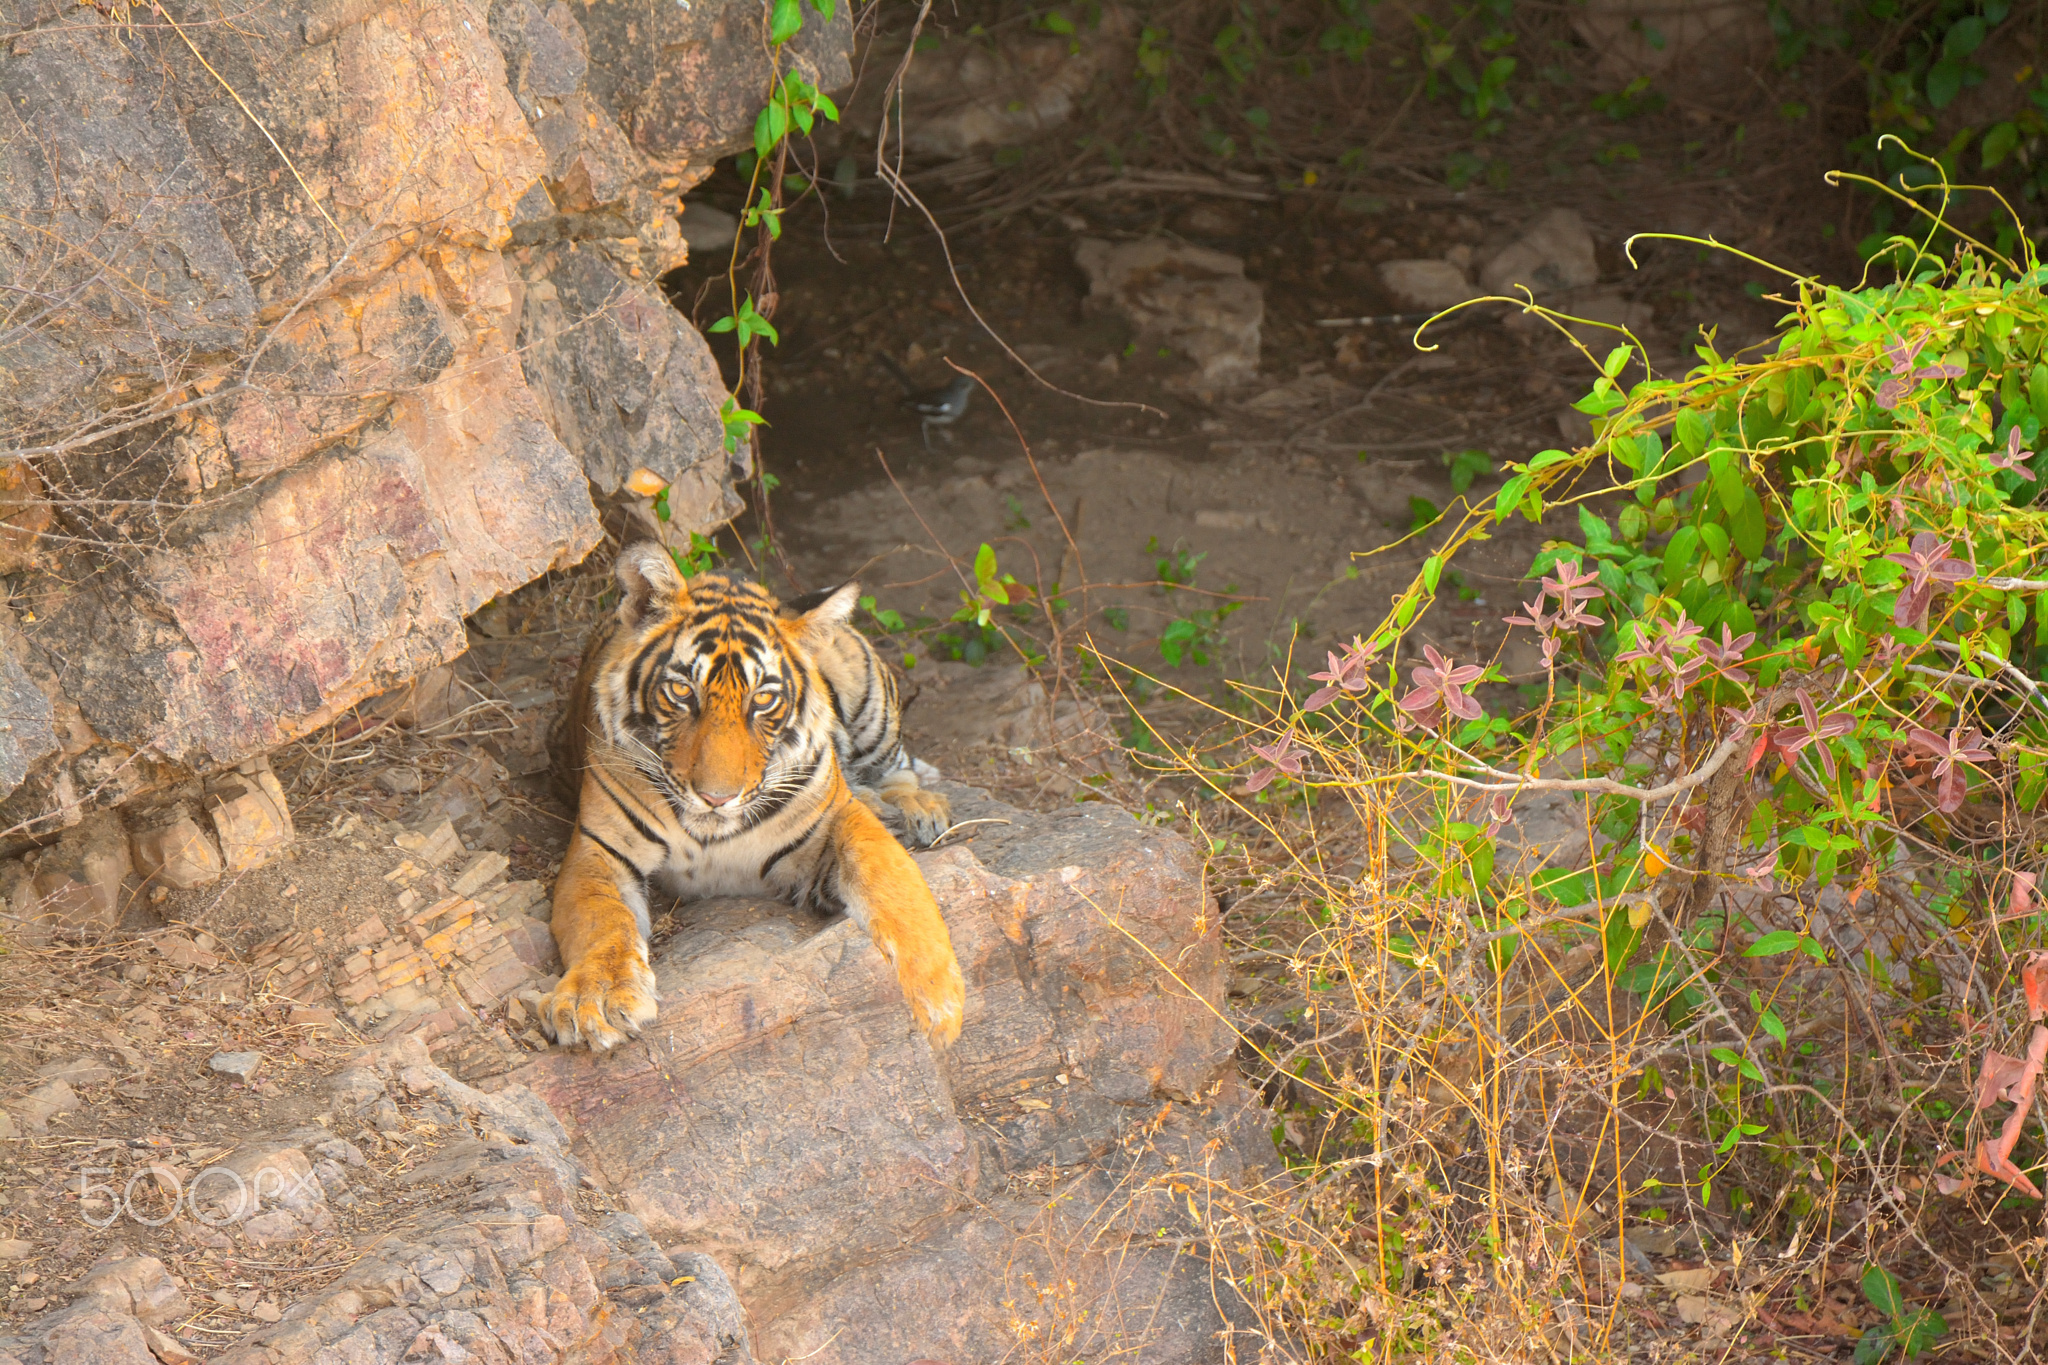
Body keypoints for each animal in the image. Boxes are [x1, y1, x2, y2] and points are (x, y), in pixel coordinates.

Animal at [540, 548, 962, 1055]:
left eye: (762, 700)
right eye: (681, 691)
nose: (715, 797)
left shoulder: (835, 819)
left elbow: (889, 875)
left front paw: (940, 1000)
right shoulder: (599, 851)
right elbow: (600, 920)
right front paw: (596, 1000)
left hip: (869, 700)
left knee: (896, 767)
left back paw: (916, 808)